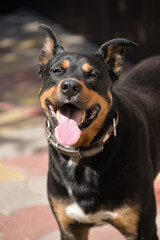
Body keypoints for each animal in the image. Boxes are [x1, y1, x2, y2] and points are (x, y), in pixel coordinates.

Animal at [38, 23, 160, 239]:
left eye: (93, 75)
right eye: (56, 71)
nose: (70, 86)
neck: (81, 155)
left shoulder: (143, 228)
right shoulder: (70, 228)